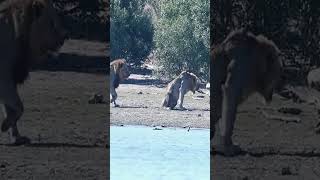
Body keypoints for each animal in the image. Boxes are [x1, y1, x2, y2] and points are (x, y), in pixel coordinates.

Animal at [0, 0, 66, 145]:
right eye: (52, 22)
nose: (64, 37)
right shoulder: (4, 75)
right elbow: (18, 107)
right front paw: (4, 125)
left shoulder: (10, 75)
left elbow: (11, 109)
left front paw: (17, 138)